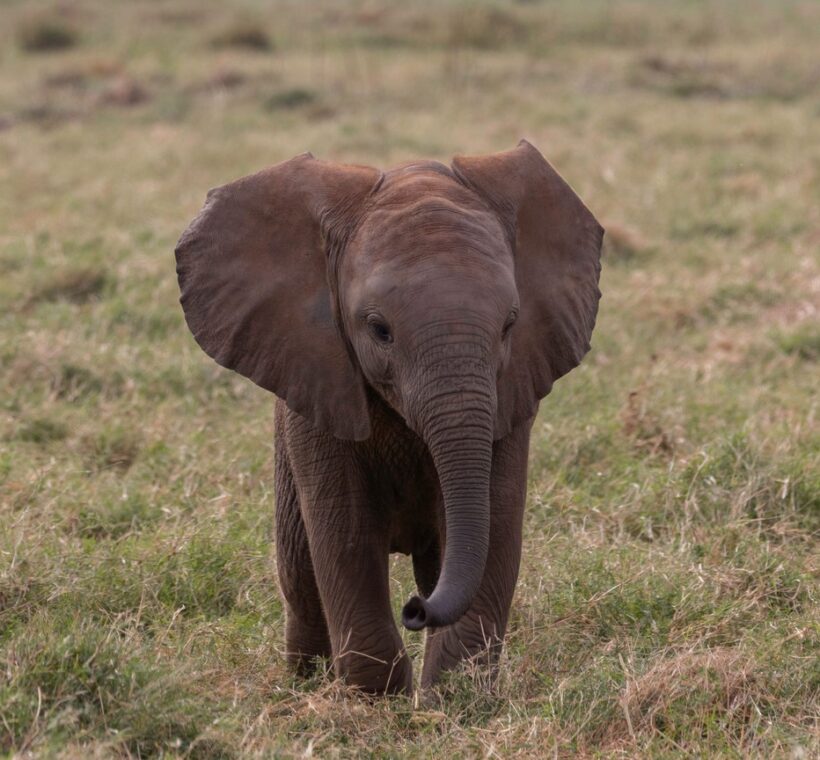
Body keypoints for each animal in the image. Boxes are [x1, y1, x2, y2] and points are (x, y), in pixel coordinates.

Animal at [175, 140, 603, 695]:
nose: (415, 610)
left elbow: (496, 524)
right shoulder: (317, 387)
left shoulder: (512, 392)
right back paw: (305, 683)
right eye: (379, 330)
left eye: (510, 325)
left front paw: (455, 698)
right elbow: (345, 534)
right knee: (301, 576)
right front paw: (378, 699)